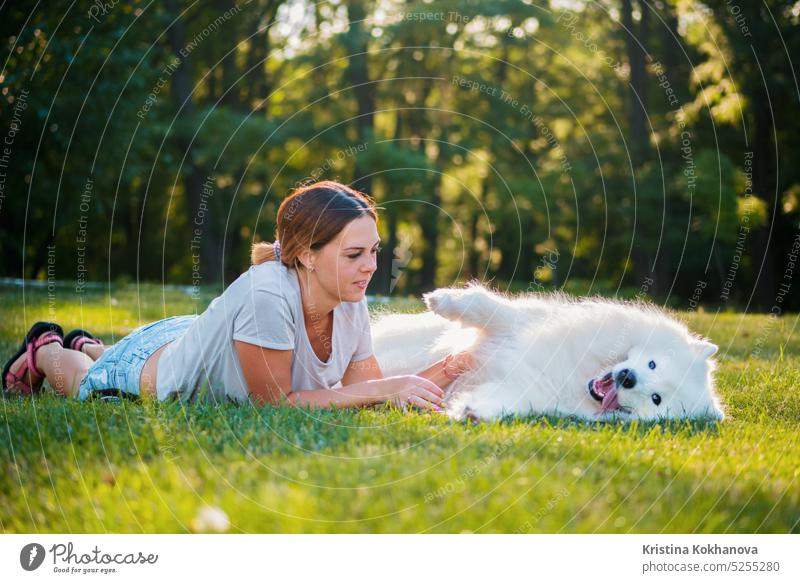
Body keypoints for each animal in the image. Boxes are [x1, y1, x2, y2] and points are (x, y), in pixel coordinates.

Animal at [372, 286, 720, 422]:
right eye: (652, 363)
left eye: (656, 399)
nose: (628, 377)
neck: (577, 374)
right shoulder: (514, 324)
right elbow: (486, 306)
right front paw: (442, 300)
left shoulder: (522, 388)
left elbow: (496, 399)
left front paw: (472, 410)